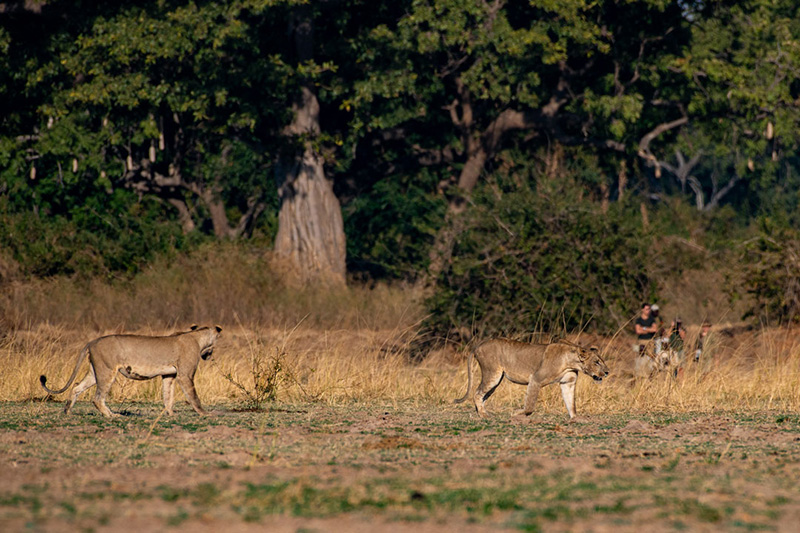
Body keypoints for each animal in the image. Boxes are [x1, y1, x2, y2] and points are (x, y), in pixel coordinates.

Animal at [39, 322, 222, 418]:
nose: (209, 356)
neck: (198, 338)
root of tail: (92, 341)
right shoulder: (185, 374)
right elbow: (193, 396)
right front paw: (204, 413)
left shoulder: (169, 374)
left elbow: (167, 396)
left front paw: (170, 414)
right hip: (108, 371)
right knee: (97, 398)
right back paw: (112, 415)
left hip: (95, 372)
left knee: (76, 387)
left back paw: (67, 411)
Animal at [450, 336, 612, 420]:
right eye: (597, 362)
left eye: (602, 361)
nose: (607, 372)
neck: (571, 362)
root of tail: (479, 344)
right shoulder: (536, 378)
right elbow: (530, 406)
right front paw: (517, 413)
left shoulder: (568, 383)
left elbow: (570, 402)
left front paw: (575, 418)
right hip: (492, 373)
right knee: (477, 393)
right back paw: (484, 415)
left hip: (497, 378)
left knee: (482, 395)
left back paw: (482, 412)